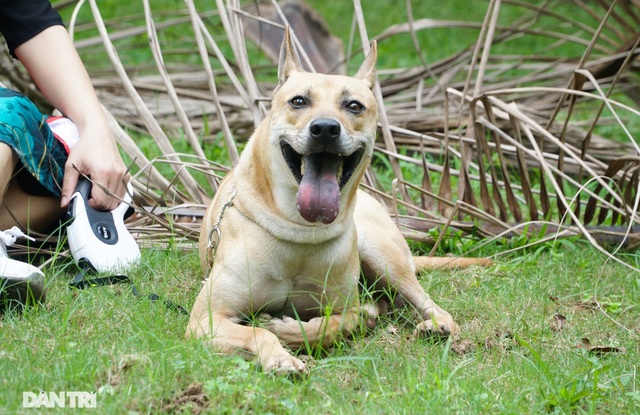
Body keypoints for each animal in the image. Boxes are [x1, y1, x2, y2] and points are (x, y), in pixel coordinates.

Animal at [185, 27, 490, 376]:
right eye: (298, 101)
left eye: (354, 105)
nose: (325, 129)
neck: (300, 232)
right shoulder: (207, 320)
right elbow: (256, 333)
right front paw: (279, 357)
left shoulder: (346, 307)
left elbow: (334, 324)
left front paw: (290, 331)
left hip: (382, 254)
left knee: (426, 303)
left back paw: (436, 325)